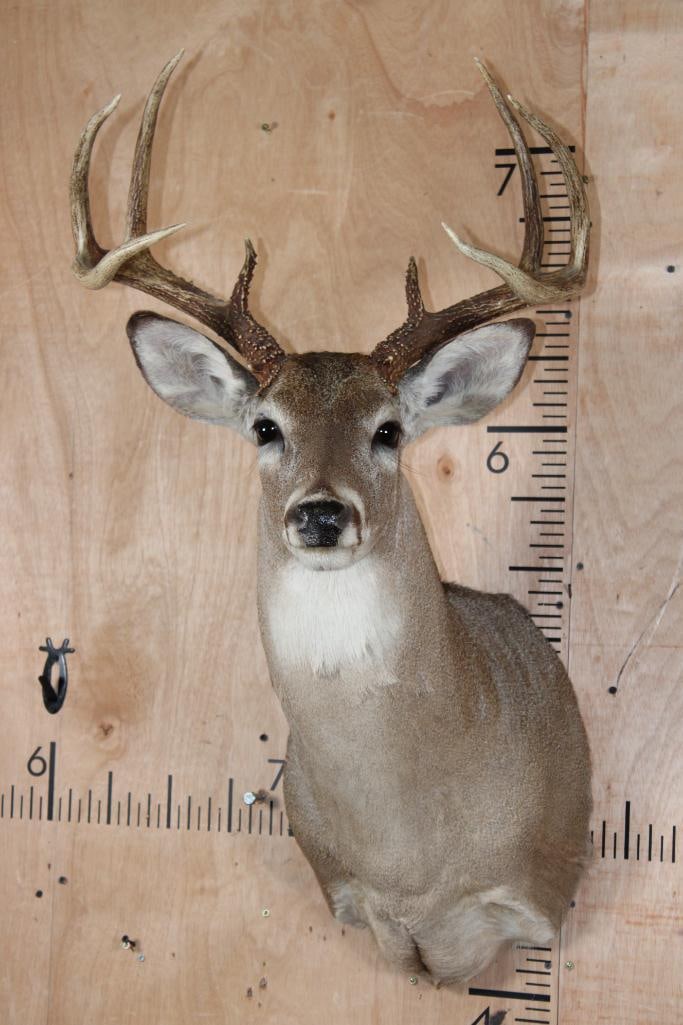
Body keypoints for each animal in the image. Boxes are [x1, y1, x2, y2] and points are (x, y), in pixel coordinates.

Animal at [70, 52, 592, 987]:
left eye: (388, 429)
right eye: (263, 426)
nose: (319, 512)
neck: (412, 855)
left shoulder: (535, 882)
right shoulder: (350, 893)